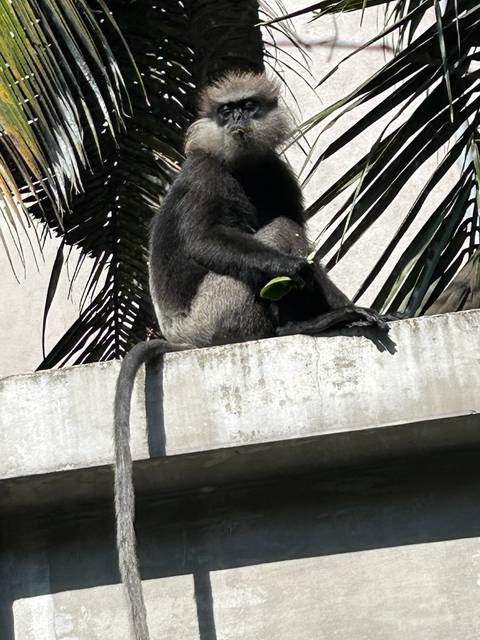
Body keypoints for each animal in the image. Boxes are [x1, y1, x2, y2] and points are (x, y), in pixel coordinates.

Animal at [114, 71, 389, 640]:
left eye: (248, 106)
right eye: (225, 112)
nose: (238, 121)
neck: (240, 163)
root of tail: (184, 338)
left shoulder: (275, 169)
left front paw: (347, 305)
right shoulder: (205, 171)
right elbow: (209, 240)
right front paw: (302, 280)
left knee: (284, 223)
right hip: (218, 315)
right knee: (274, 237)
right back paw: (297, 324)